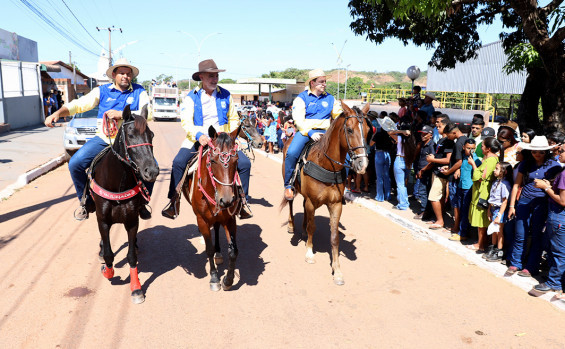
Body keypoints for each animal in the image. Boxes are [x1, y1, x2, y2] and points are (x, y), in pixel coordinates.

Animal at [93, 103, 159, 302]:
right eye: (130, 135)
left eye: (151, 135)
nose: (152, 171)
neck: (118, 184)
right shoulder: (103, 221)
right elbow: (108, 254)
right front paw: (107, 271)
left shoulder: (131, 221)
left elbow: (131, 256)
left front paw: (136, 288)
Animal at [183, 126, 240, 290]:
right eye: (213, 160)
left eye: (236, 159)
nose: (227, 200)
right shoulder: (202, 219)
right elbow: (208, 249)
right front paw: (214, 278)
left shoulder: (230, 218)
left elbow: (233, 250)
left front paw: (228, 280)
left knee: (216, 227)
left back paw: (218, 253)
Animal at [280, 100, 370, 282]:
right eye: (349, 129)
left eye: (368, 131)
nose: (362, 165)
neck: (327, 165)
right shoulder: (312, 201)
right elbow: (312, 227)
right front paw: (309, 253)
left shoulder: (335, 205)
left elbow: (334, 237)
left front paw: (337, 270)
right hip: (291, 187)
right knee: (291, 203)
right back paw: (292, 226)